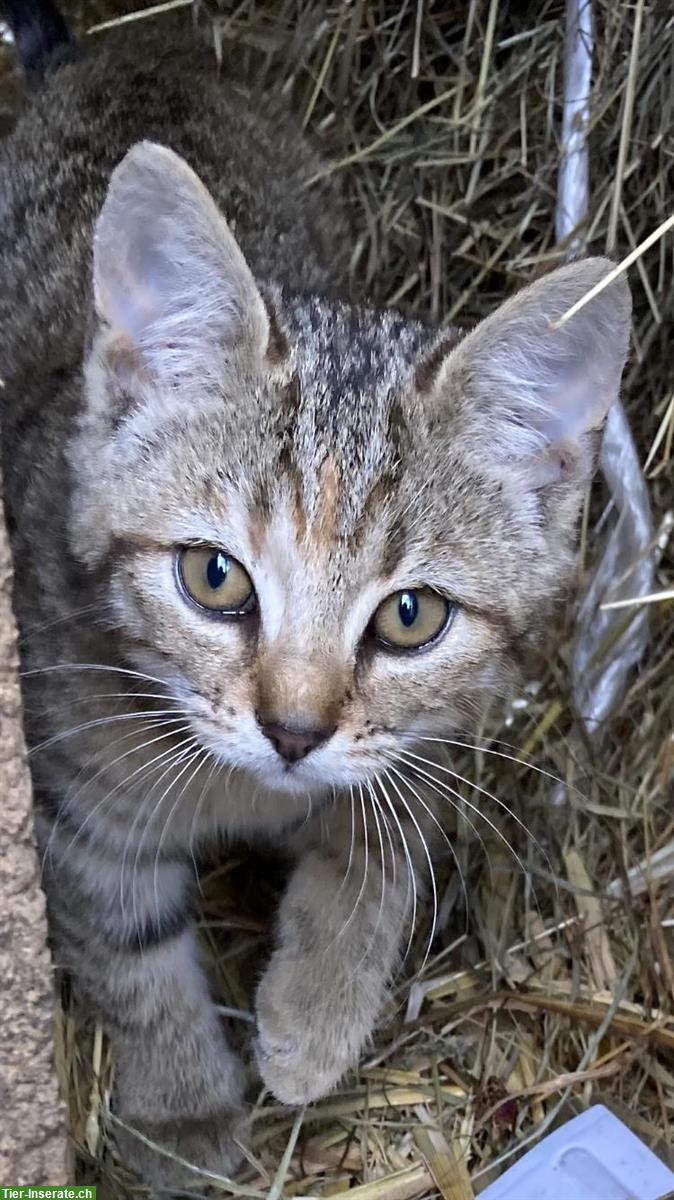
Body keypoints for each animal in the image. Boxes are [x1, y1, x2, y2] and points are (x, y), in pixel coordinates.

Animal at [0, 0, 628, 1180]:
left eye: (410, 617)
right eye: (213, 578)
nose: (292, 731)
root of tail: (113, 53)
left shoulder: (428, 742)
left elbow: (382, 845)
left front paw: (314, 1015)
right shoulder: (69, 793)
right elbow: (126, 950)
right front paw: (180, 1111)